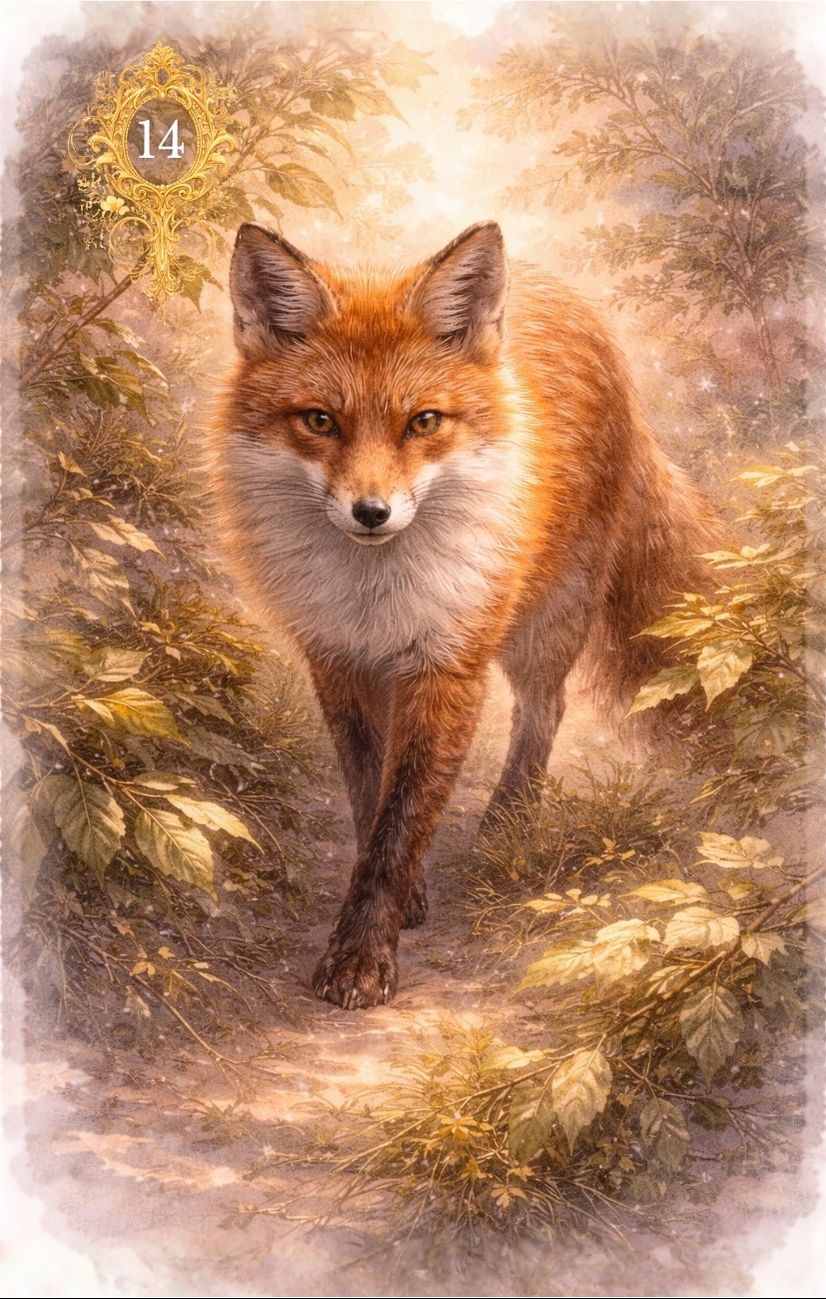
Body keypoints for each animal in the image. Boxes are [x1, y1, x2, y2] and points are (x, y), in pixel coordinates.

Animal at [208, 219, 718, 1010]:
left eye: (423, 421)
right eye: (320, 421)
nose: (372, 512)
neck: (376, 593)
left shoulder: (447, 665)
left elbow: (400, 821)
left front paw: (363, 955)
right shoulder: (339, 659)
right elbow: (369, 793)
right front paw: (401, 904)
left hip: (546, 619)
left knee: (546, 706)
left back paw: (510, 822)